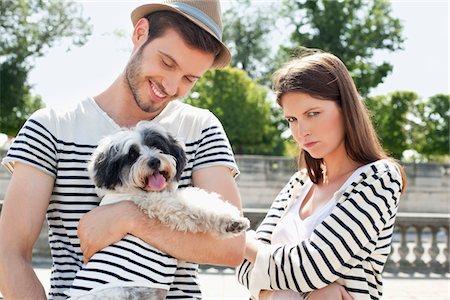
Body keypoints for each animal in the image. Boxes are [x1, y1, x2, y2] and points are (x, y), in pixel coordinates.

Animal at [67, 120, 250, 298]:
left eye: (156, 145)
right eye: (132, 155)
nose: (154, 161)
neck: (134, 191)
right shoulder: (162, 205)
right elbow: (193, 205)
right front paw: (231, 221)